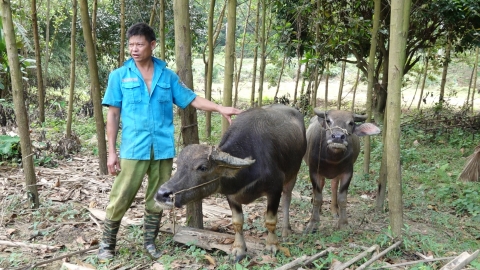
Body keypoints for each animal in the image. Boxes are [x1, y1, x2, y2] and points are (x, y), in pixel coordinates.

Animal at [158, 104, 308, 262]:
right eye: (178, 164)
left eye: (203, 167)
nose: (162, 195)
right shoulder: (231, 195)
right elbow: (237, 222)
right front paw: (239, 249)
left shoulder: (275, 189)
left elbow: (271, 220)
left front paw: (272, 245)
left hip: (293, 174)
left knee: (287, 198)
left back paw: (286, 230)